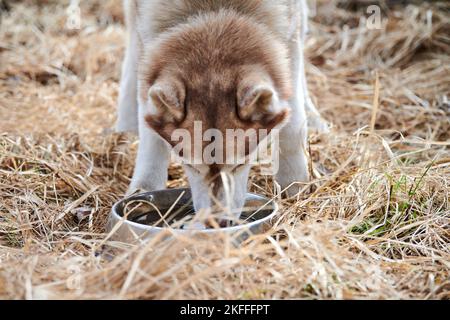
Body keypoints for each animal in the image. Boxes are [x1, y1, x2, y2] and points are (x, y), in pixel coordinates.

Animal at [116, 0, 326, 220]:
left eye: (240, 164)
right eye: (190, 165)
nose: (216, 222)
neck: (213, 11)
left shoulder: (290, 31)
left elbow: (292, 125)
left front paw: (294, 183)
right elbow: (150, 135)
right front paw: (143, 188)